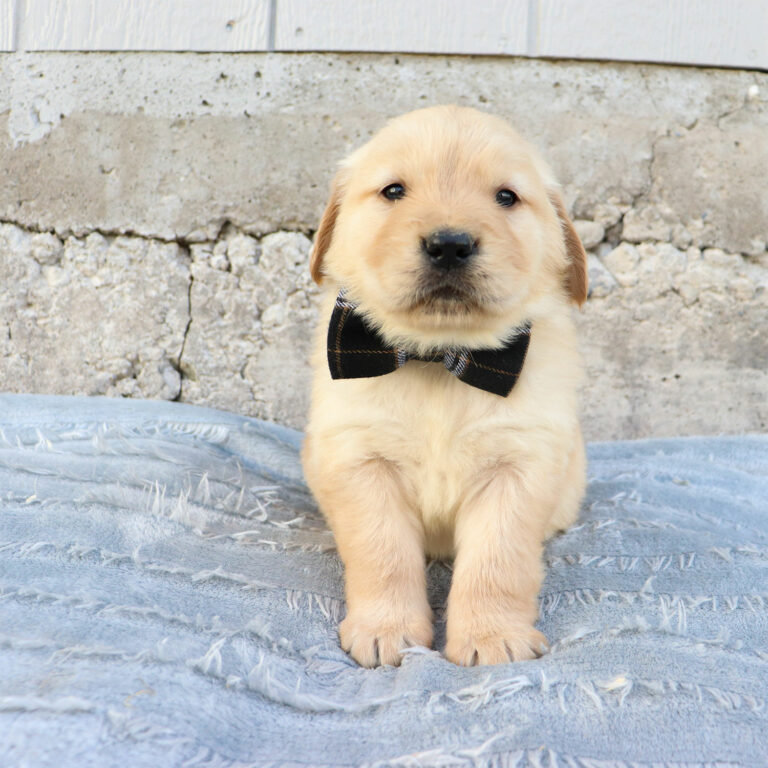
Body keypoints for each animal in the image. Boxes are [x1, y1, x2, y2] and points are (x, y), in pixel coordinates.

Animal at [302, 106, 588, 664]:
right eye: (393, 191)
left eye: (506, 197)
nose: (450, 244)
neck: (439, 358)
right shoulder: (361, 460)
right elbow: (383, 553)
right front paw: (386, 630)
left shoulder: (518, 467)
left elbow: (497, 563)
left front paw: (493, 637)